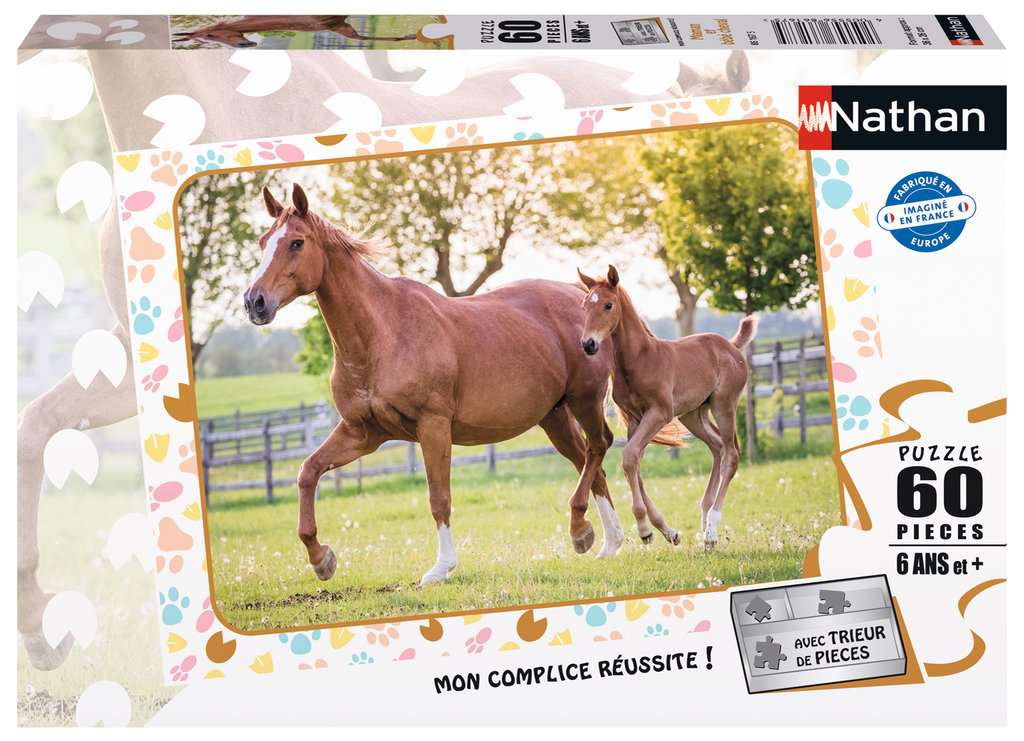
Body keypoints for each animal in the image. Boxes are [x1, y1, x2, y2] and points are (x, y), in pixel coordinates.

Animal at [577, 265, 757, 551]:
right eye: (585, 306)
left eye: (608, 305)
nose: (588, 344)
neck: (639, 360)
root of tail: (730, 345)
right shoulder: (635, 419)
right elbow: (633, 462)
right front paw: (662, 530)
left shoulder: (659, 413)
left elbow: (630, 456)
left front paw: (644, 529)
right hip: (693, 414)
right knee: (717, 447)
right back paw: (705, 523)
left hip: (723, 405)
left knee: (731, 455)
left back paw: (712, 530)